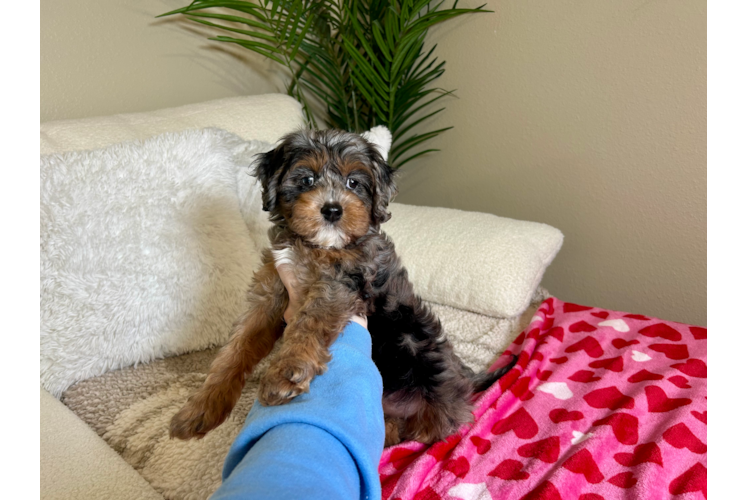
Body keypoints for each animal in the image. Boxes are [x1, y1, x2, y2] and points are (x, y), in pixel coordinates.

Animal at [171, 129, 516, 446]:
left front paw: (287, 369)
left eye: (354, 183)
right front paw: (201, 408)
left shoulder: (342, 284)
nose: (333, 210)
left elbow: (308, 322)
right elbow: (237, 348)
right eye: (307, 179)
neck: (318, 246)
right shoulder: (270, 293)